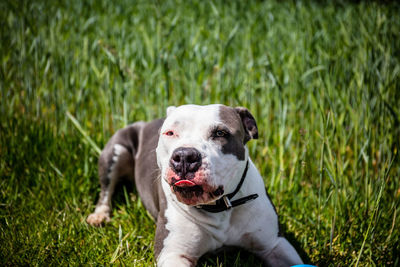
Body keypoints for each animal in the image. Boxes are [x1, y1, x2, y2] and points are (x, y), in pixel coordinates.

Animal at [86, 104, 304, 267]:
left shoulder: (274, 245)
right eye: (170, 133)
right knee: (106, 189)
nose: (184, 156)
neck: (219, 207)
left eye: (220, 133)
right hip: (115, 149)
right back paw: (99, 216)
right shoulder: (174, 254)